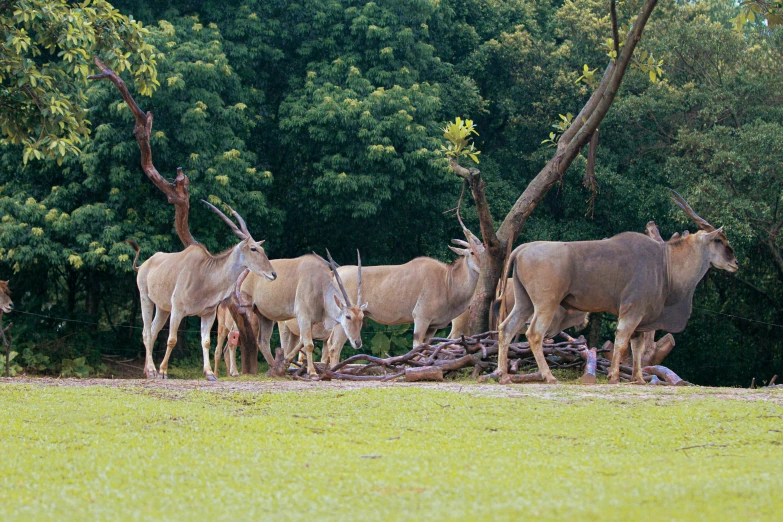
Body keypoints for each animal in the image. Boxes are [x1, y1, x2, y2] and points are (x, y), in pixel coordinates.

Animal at [129, 201, 276, 380]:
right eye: (253, 249)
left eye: (262, 250)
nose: (273, 274)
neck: (205, 275)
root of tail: (143, 265)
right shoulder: (177, 310)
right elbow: (172, 339)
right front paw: (163, 371)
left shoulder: (208, 314)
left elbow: (205, 342)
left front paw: (210, 373)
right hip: (146, 299)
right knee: (146, 332)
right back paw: (151, 370)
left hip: (163, 309)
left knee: (153, 330)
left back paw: (148, 370)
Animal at [236, 250, 368, 376]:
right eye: (348, 316)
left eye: (362, 317)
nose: (357, 343)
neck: (319, 284)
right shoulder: (303, 316)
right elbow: (309, 345)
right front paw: (312, 372)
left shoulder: (311, 321)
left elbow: (302, 343)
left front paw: (286, 363)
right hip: (250, 310)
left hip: (264, 316)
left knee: (263, 342)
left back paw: (274, 369)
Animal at [500, 190, 740, 382]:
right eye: (719, 240)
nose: (735, 262)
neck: (665, 263)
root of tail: (521, 249)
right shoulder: (632, 311)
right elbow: (622, 341)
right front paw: (614, 376)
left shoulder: (641, 320)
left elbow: (637, 347)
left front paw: (639, 379)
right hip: (545, 304)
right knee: (534, 334)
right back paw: (548, 376)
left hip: (524, 303)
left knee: (506, 328)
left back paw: (504, 376)